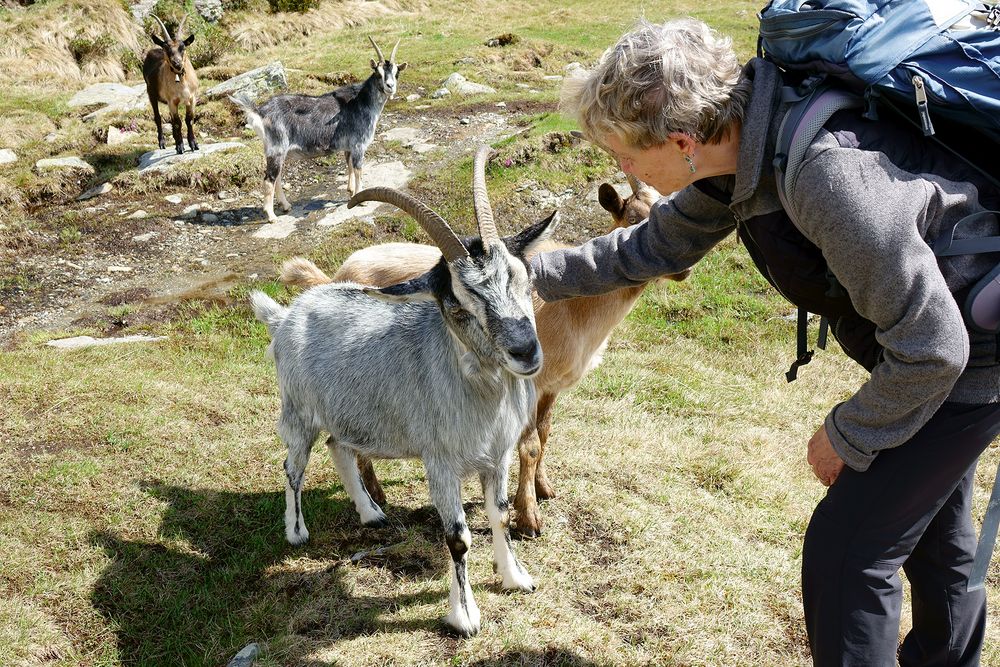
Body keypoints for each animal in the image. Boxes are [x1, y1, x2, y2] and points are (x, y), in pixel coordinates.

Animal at [143, 16, 199, 158]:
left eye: (183, 47)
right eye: (166, 48)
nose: (177, 63)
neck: (182, 82)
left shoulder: (192, 98)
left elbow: (189, 120)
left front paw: (193, 144)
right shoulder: (172, 101)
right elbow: (178, 123)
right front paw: (180, 147)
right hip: (151, 93)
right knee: (158, 118)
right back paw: (162, 143)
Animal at [230, 37, 406, 222]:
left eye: (396, 73)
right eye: (378, 73)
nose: (390, 86)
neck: (362, 101)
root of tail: (259, 111)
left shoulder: (349, 147)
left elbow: (350, 166)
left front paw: (351, 192)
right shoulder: (359, 145)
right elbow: (358, 170)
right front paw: (362, 200)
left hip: (278, 152)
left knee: (277, 178)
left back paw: (285, 206)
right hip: (276, 149)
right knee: (269, 179)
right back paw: (271, 216)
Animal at [250, 146, 560, 636]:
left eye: (521, 277)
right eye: (456, 304)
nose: (525, 350)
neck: (476, 389)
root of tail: (284, 316)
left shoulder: (497, 456)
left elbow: (500, 513)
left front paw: (515, 578)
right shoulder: (441, 463)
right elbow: (458, 537)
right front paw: (465, 616)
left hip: (349, 411)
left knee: (338, 448)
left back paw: (371, 513)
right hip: (298, 411)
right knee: (292, 467)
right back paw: (296, 531)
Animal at [278, 174, 692, 536]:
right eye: (632, 220)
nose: (683, 267)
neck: (580, 310)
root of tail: (336, 274)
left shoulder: (552, 385)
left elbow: (546, 434)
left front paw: (544, 489)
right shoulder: (528, 383)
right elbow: (529, 446)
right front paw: (529, 518)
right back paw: (375, 496)